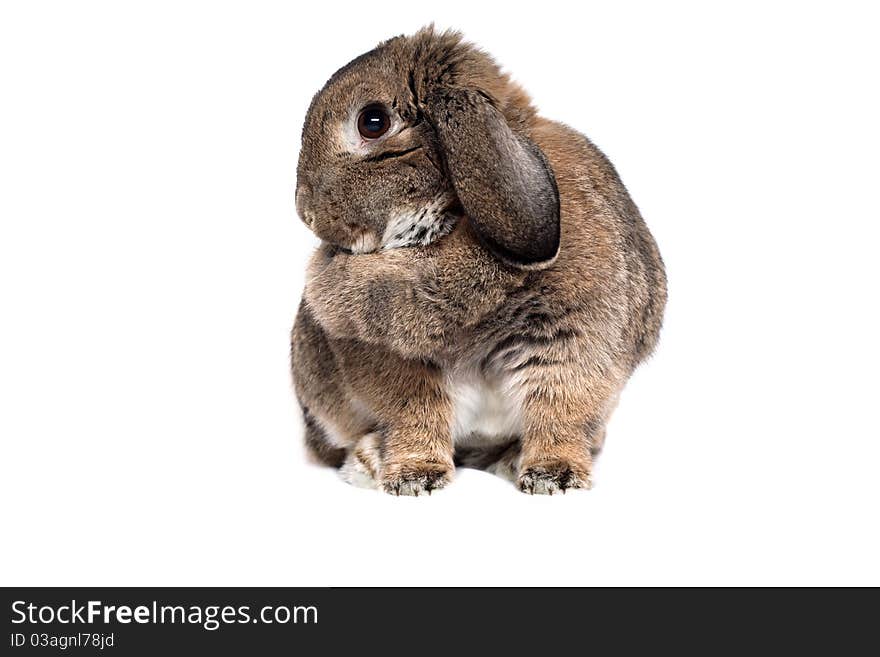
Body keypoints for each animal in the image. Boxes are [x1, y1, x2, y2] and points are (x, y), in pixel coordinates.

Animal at [290, 28, 668, 494]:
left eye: (372, 122)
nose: (304, 209)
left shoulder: (573, 348)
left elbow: (558, 415)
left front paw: (554, 475)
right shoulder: (394, 369)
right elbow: (416, 417)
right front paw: (415, 478)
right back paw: (369, 461)